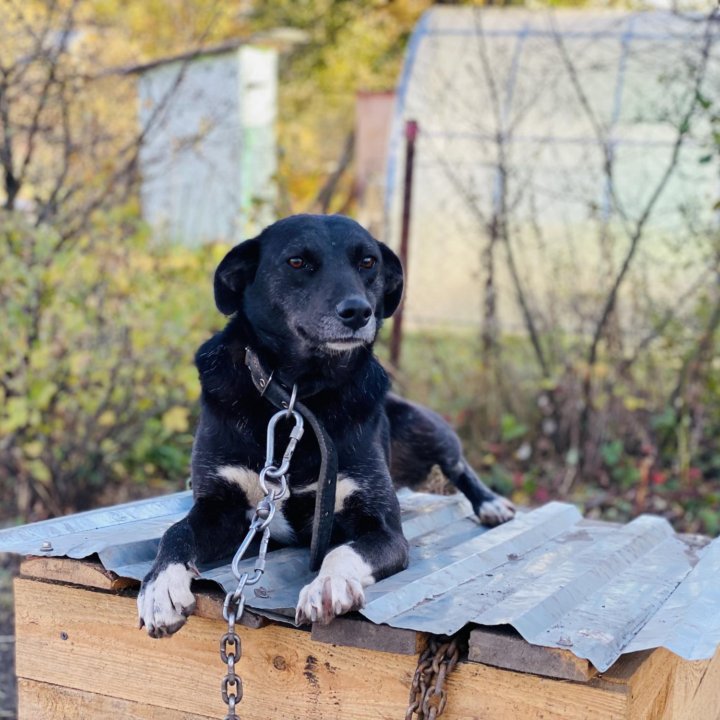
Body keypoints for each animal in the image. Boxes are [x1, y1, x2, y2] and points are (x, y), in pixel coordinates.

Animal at [138, 212, 516, 636]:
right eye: (297, 262)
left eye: (368, 262)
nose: (358, 312)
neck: (298, 396)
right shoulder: (220, 507)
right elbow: (176, 532)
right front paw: (160, 588)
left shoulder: (382, 527)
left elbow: (342, 551)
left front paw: (328, 584)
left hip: (427, 428)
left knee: (458, 465)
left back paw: (490, 503)